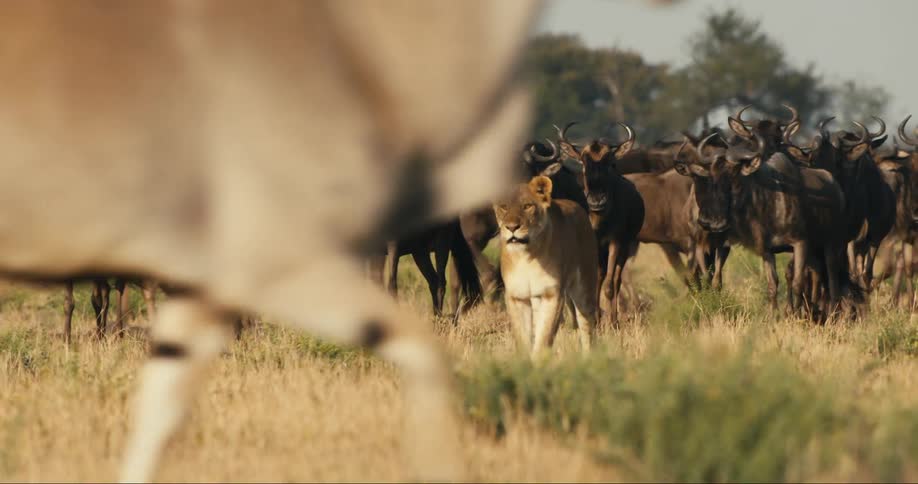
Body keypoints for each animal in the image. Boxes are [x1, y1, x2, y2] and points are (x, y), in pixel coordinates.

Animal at [494, 175, 599, 357]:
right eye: (504, 206)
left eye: (527, 206)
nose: (512, 227)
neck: (526, 257)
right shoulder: (516, 297)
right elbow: (523, 339)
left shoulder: (553, 295)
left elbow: (544, 337)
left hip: (584, 289)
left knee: (587, 327)